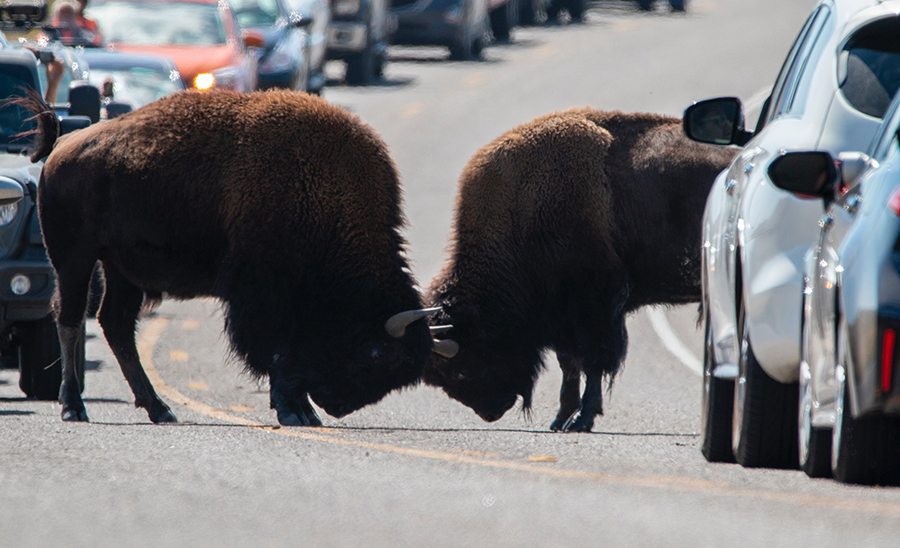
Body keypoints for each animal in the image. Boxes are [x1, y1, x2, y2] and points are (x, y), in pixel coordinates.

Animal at [27, 89, 436, 424]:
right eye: (378, 354)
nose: (338, 406)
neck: (326, 194)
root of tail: (63, 143)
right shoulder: (262, 295)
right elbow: (276, 352)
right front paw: (294, 411)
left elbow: (288, 354)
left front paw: (305, 411)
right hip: (74, 258)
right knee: (70, 317)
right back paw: (73, 406)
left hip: (120, 269)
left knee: (115, 325)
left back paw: (160, 409)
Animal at [426, 107, 736, 432]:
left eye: (462, 369)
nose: (490, 411)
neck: (521, 210)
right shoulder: (563, 316)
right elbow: (570, 364)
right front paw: (561, 418)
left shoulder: (595, 304)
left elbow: (594, 362)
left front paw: (581, 418)